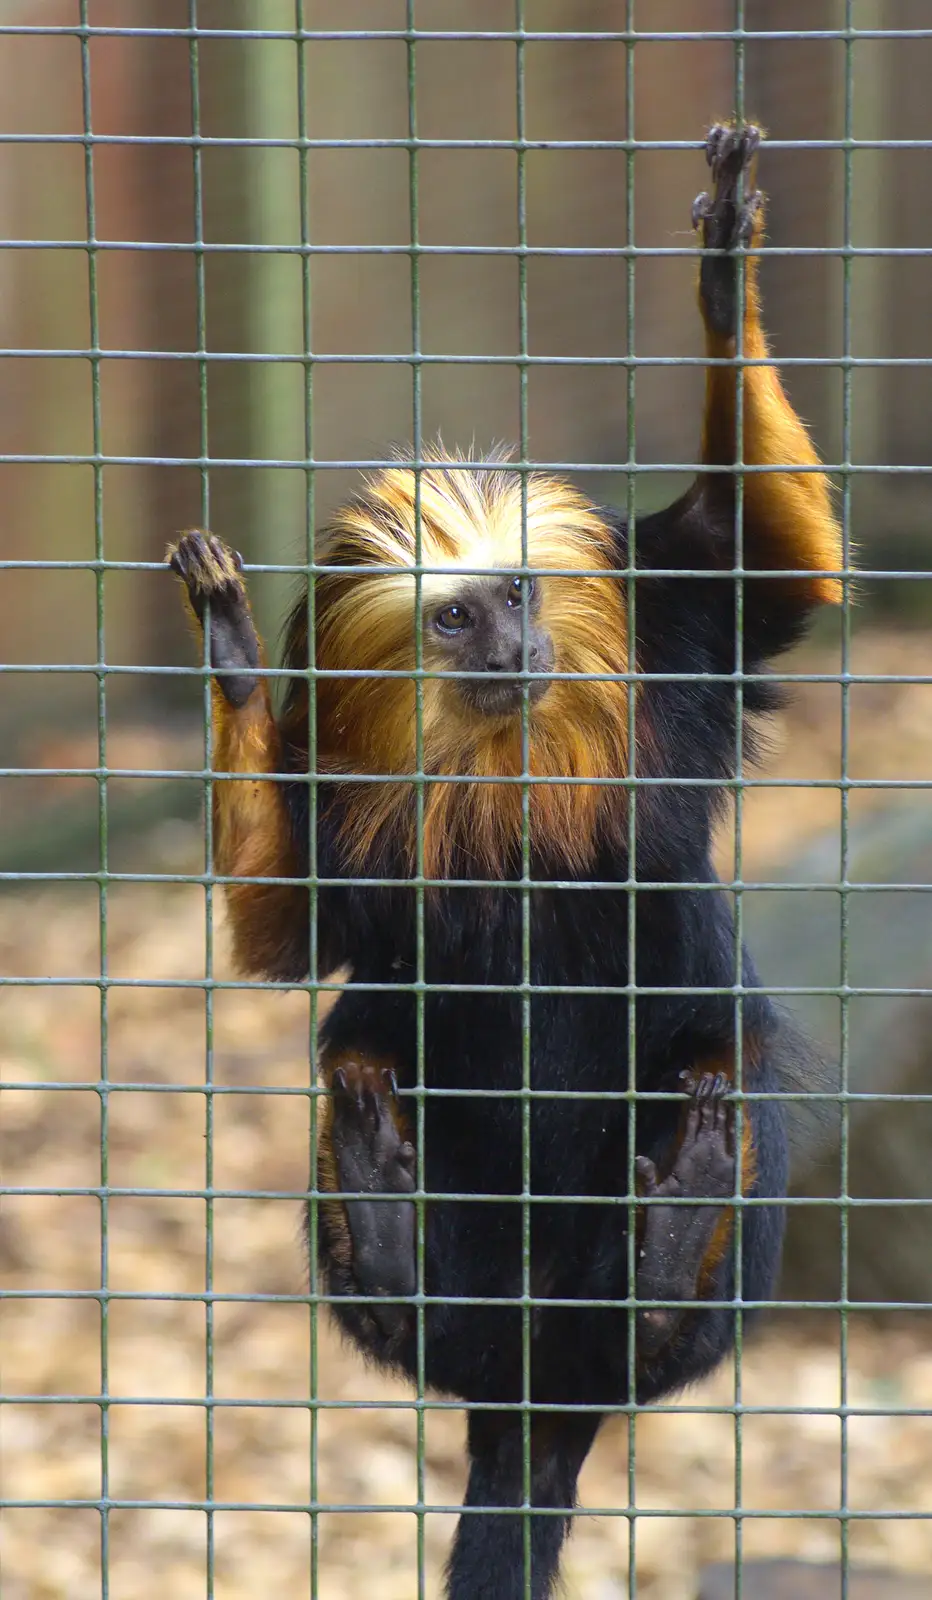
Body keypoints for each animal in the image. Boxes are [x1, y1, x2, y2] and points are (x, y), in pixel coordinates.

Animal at [169, 121, 845, 1600]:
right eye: (456, 618)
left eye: (522, 596)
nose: (520, 647)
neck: (496, 762)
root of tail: (535, 1384)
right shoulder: (336, 783)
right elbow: (289, 939)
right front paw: (231, 657)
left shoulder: (677, 631)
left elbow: (764, 563)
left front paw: (724, 274)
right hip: (453, 1260)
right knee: (359, 1055)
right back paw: (384, 1215)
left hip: (690, 1224)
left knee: (723, 1069)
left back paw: (670, 1250)